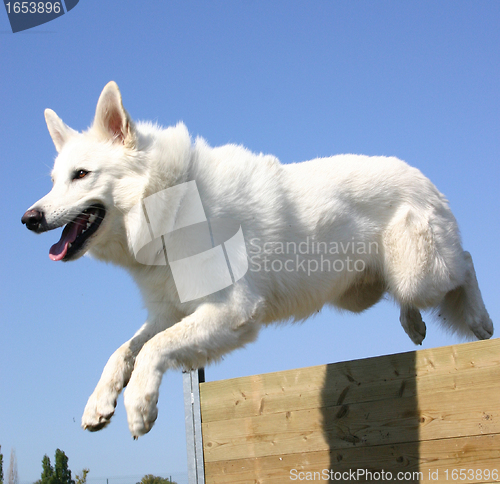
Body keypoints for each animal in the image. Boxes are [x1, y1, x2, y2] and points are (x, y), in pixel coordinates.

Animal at [21, 82, 490, 438]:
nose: (29, 218)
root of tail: (423, 177)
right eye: (54, 180)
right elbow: (124, 350)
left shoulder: (231, 311)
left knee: (465, 261)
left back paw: (480, 321)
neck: (169, 205)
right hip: (368, 291)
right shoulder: (172, 311)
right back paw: (413, 324)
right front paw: (99, 403)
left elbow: (152, 349)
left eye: (82, 175)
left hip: (420, 273)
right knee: (416, 292)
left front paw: (140, 406)